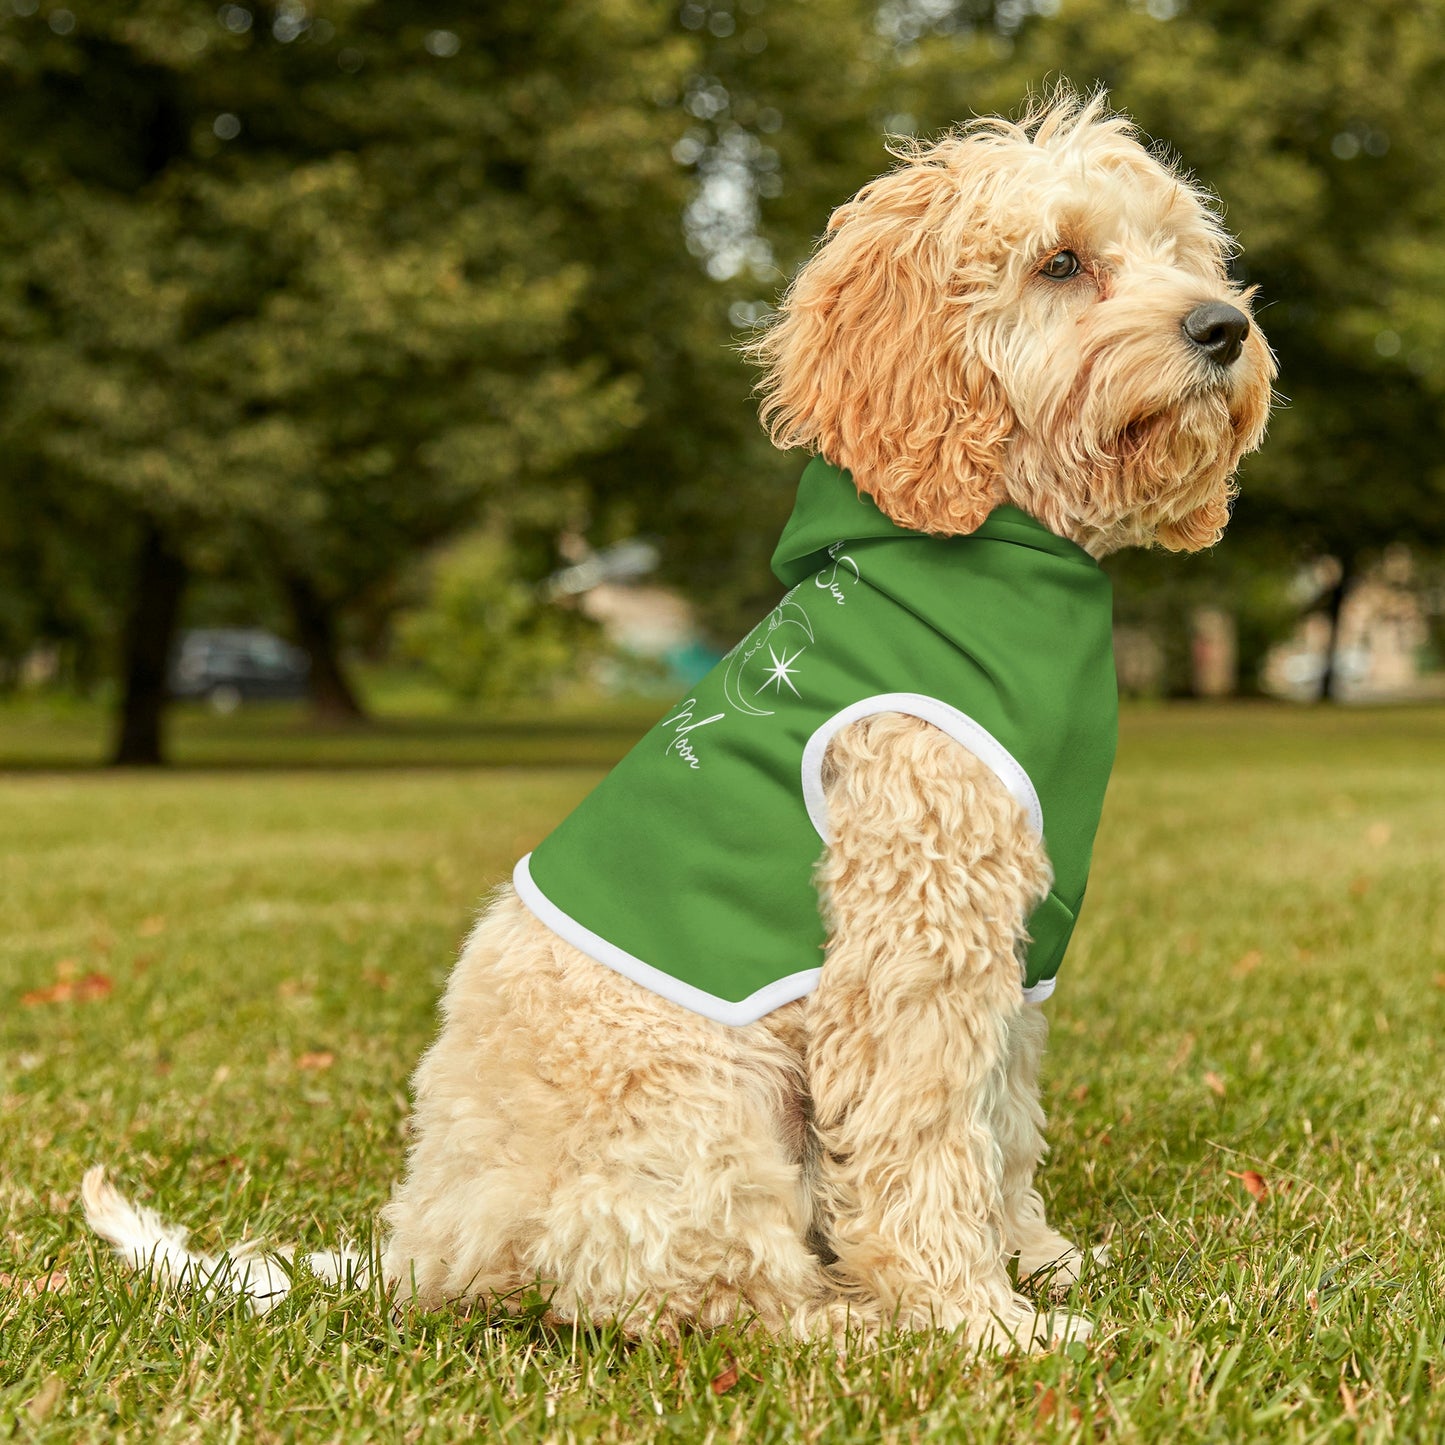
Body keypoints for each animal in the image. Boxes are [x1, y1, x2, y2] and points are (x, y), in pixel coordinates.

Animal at [84, 93, 1271, 1352]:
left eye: (1181, 252)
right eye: (1059, 262)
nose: (1222, 327)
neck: (996, 547)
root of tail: (423, 1245)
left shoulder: (1014, 946)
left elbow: (999, 1122)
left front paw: (1035, 1260)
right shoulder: (913, 937)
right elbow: (924, 1138)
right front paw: (976, 1318)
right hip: (704, 1102)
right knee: (697, 1290)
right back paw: (852, 1322)